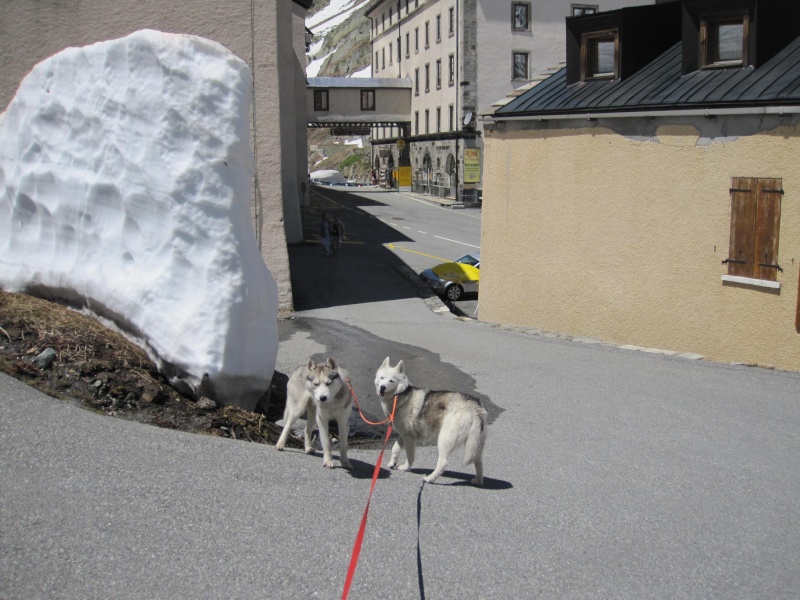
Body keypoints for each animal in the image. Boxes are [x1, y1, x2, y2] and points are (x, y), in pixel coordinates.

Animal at [376, 354, 488, 486]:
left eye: (391, 381)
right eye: (382, 378)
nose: (382, 387)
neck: (400, 396)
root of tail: (473, 406)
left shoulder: (410, 438)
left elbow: (410, 456)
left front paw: (405, 467)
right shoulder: (403, 435)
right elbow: (395, 449)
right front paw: (392, 463)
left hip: (444, 440)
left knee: (443, 463)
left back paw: (430, 478)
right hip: (474, 445)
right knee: (479, 462)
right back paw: (478, 481)